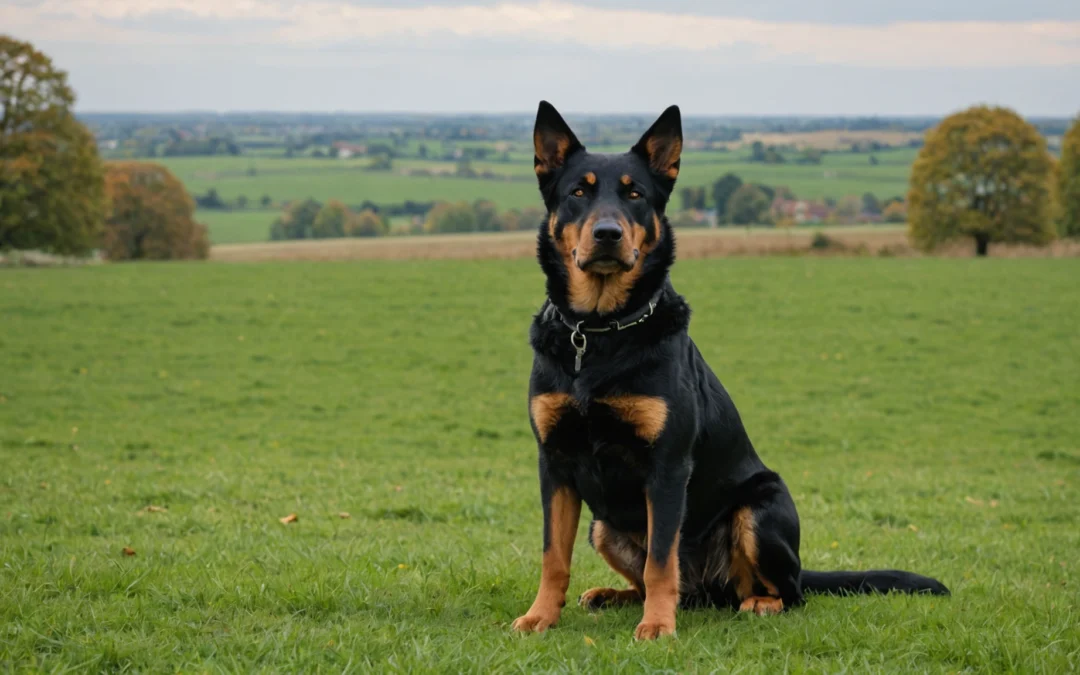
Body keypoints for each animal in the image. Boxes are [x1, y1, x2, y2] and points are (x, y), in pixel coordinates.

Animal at [511, 101, 946, 643]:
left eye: (634, 194)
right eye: (577, 193)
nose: (607, 234)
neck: (600, 330)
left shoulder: (668, 466)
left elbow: (661, 559)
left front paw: (658, 626)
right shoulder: (554, 462)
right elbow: (554, 556)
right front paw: (541, 616)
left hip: (759, 508)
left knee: (787, 593)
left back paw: (756, 603)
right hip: (603, 527)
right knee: (668, 582)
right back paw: (616, 596)